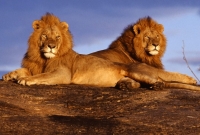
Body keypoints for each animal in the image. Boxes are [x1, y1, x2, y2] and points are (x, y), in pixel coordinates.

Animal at [1, 12, 141, 88]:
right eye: (45, 36)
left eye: (57, 37)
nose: (51, 46)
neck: (43, 59)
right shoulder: (34, 67)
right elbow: (23, 70)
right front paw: (9, 75)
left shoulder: (63, 73)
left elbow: (43, 75)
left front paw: (26, 80)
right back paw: (127, 85)